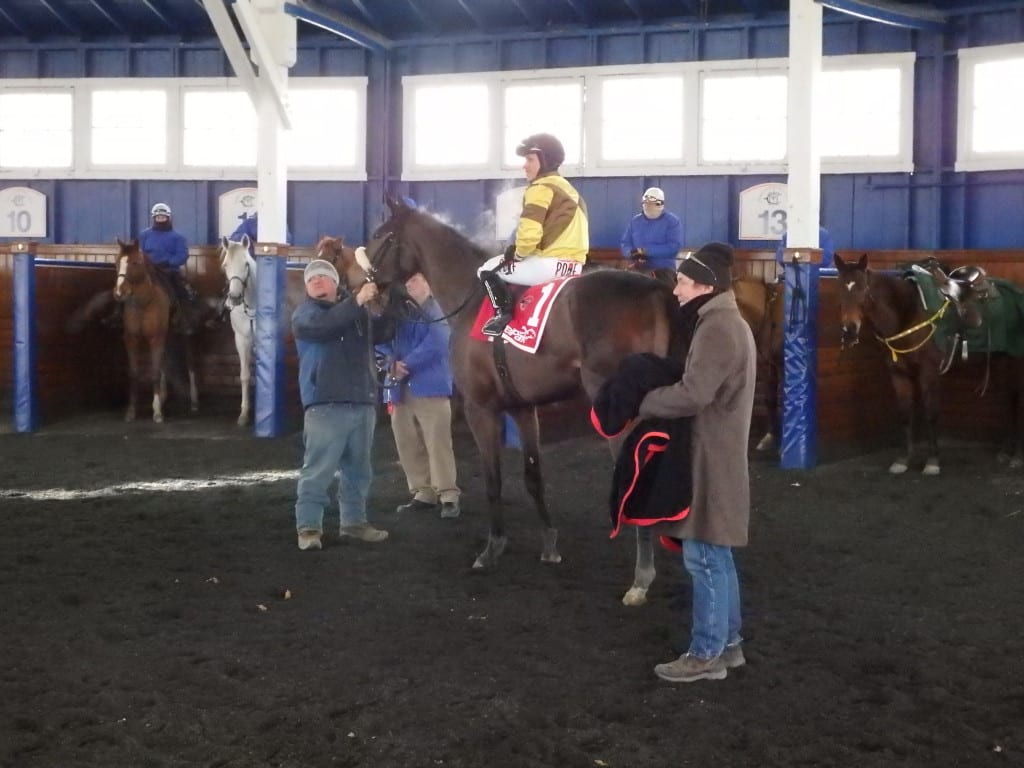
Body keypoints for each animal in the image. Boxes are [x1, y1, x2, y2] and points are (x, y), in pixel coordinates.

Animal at [114, 237, 197, 423]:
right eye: (117, 262)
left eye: (135, 262)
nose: (119, 292)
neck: (144, 302)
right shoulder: (131, 339)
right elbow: (134, 373)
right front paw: (131, 411)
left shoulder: (156, 338)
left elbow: (155, 372)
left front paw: (157, 411)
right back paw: (164, 397)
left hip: (183, 335)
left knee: (189, 363)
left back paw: (194, 401)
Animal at [364, 195, 684, 606]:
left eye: (380, 235)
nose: (367, 288)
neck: (471, 297)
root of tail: (655, 289)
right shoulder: (522, 407)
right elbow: (534, 476)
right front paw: (549, 544)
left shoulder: (480, 410)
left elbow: (493, 479)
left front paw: (492, 548)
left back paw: (642, 577)